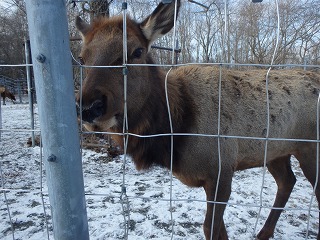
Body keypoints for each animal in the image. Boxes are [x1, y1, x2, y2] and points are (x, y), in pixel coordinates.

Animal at [75, 0, 320, 239]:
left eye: (137, 51)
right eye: (82, 58)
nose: (89, 106)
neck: (176, 128)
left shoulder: (222, 170)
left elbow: (210, 228)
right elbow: (218, 229)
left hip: (308, 149)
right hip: (277, 152)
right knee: (287, 181)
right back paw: (263, 233)